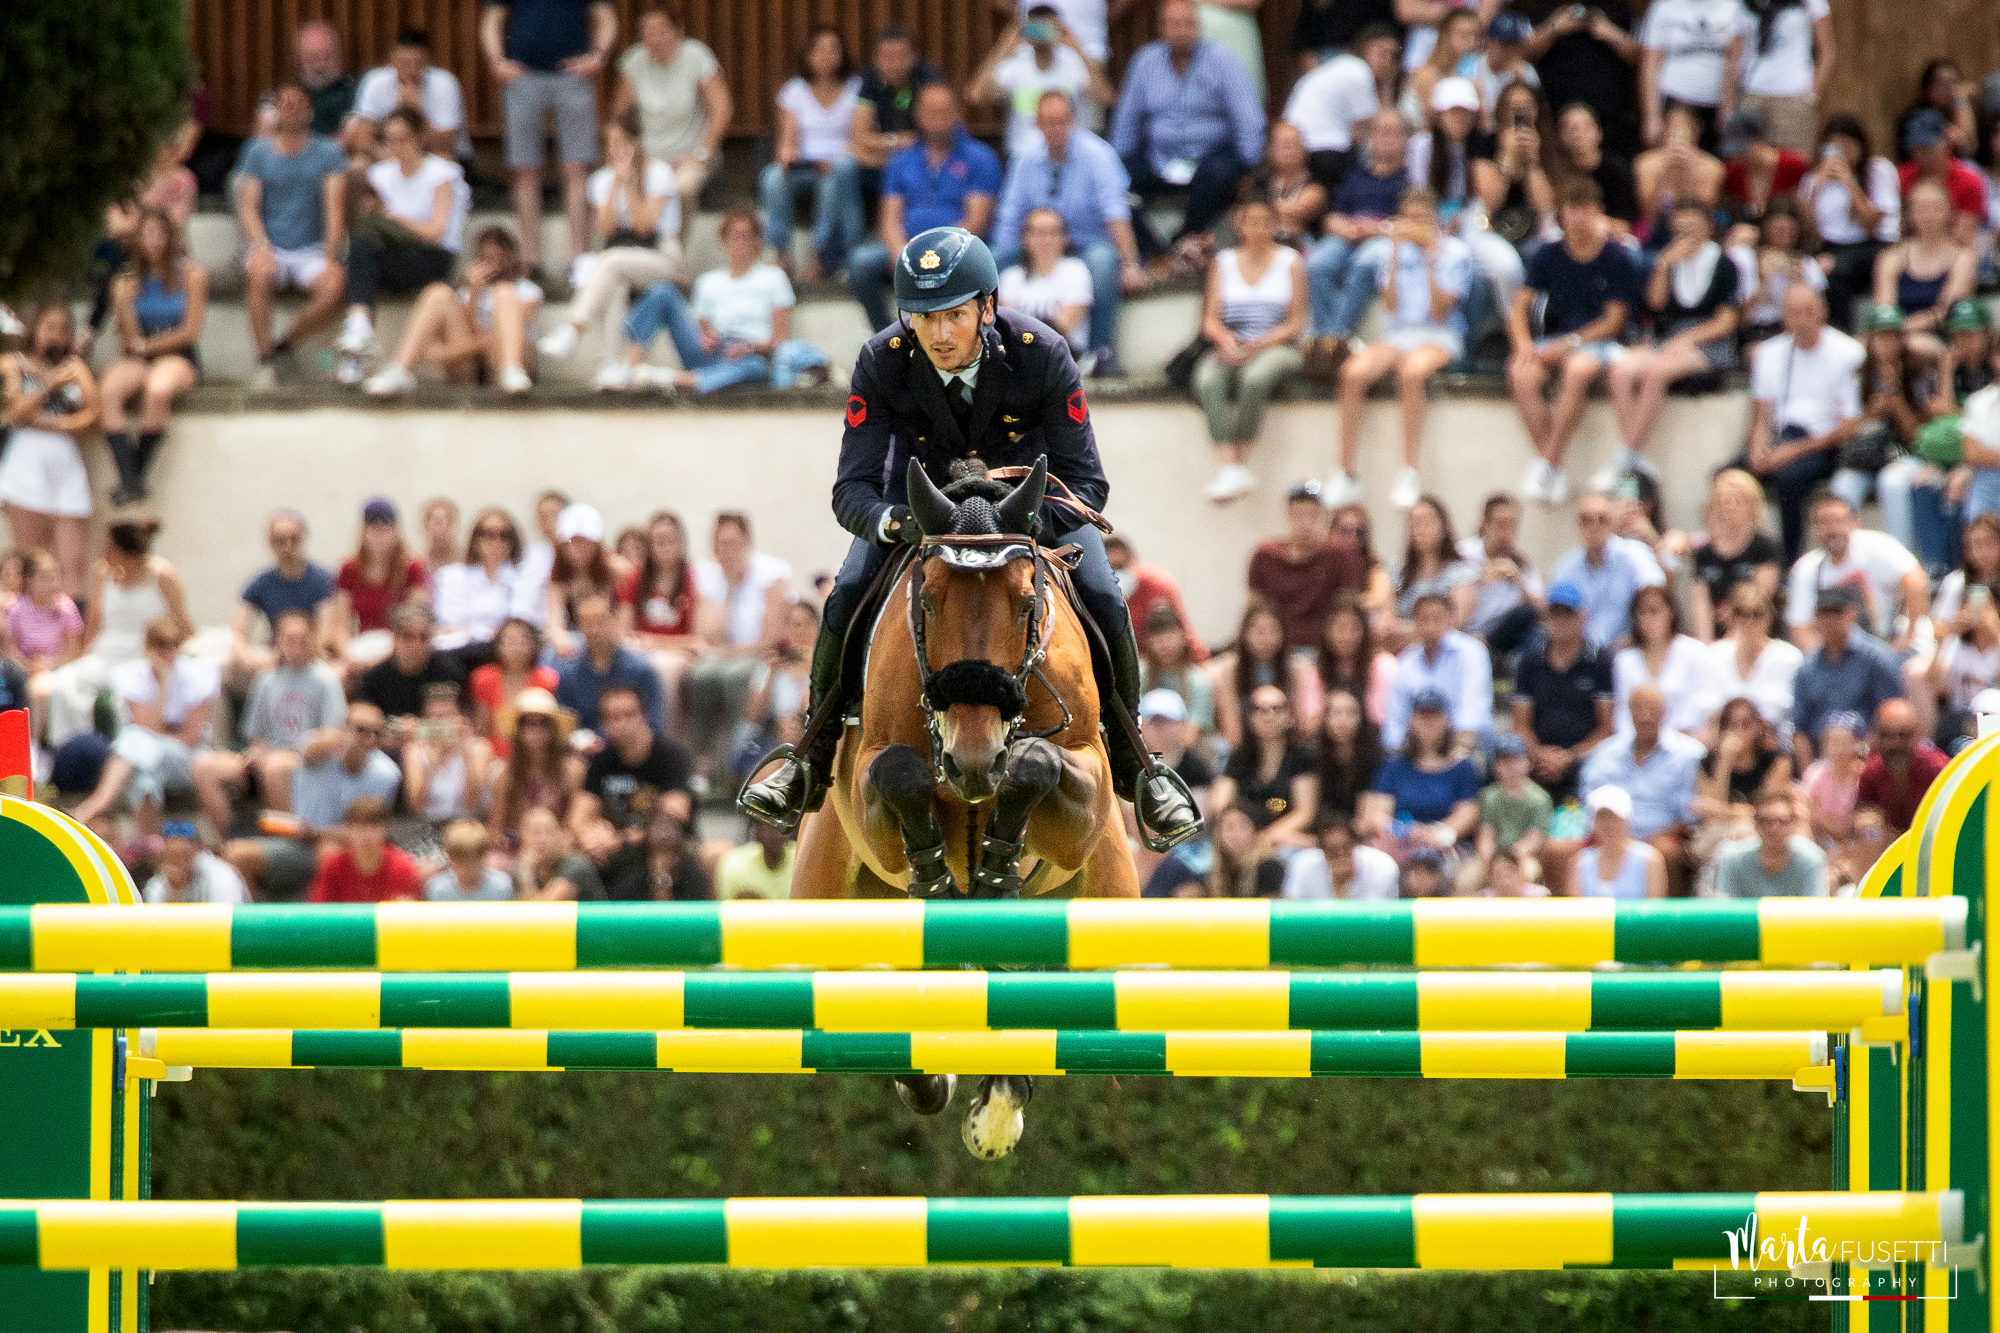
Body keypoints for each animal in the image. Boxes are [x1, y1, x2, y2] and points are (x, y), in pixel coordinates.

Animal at [796, 454, 1144, 1152]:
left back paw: (998, 1108)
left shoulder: (1085, 786)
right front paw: (936, 876)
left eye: (1025, 603)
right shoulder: (872, 780)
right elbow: (900, 772)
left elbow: (1035, 765)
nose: (973, 759)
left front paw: (997, 868)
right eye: (927, 599)